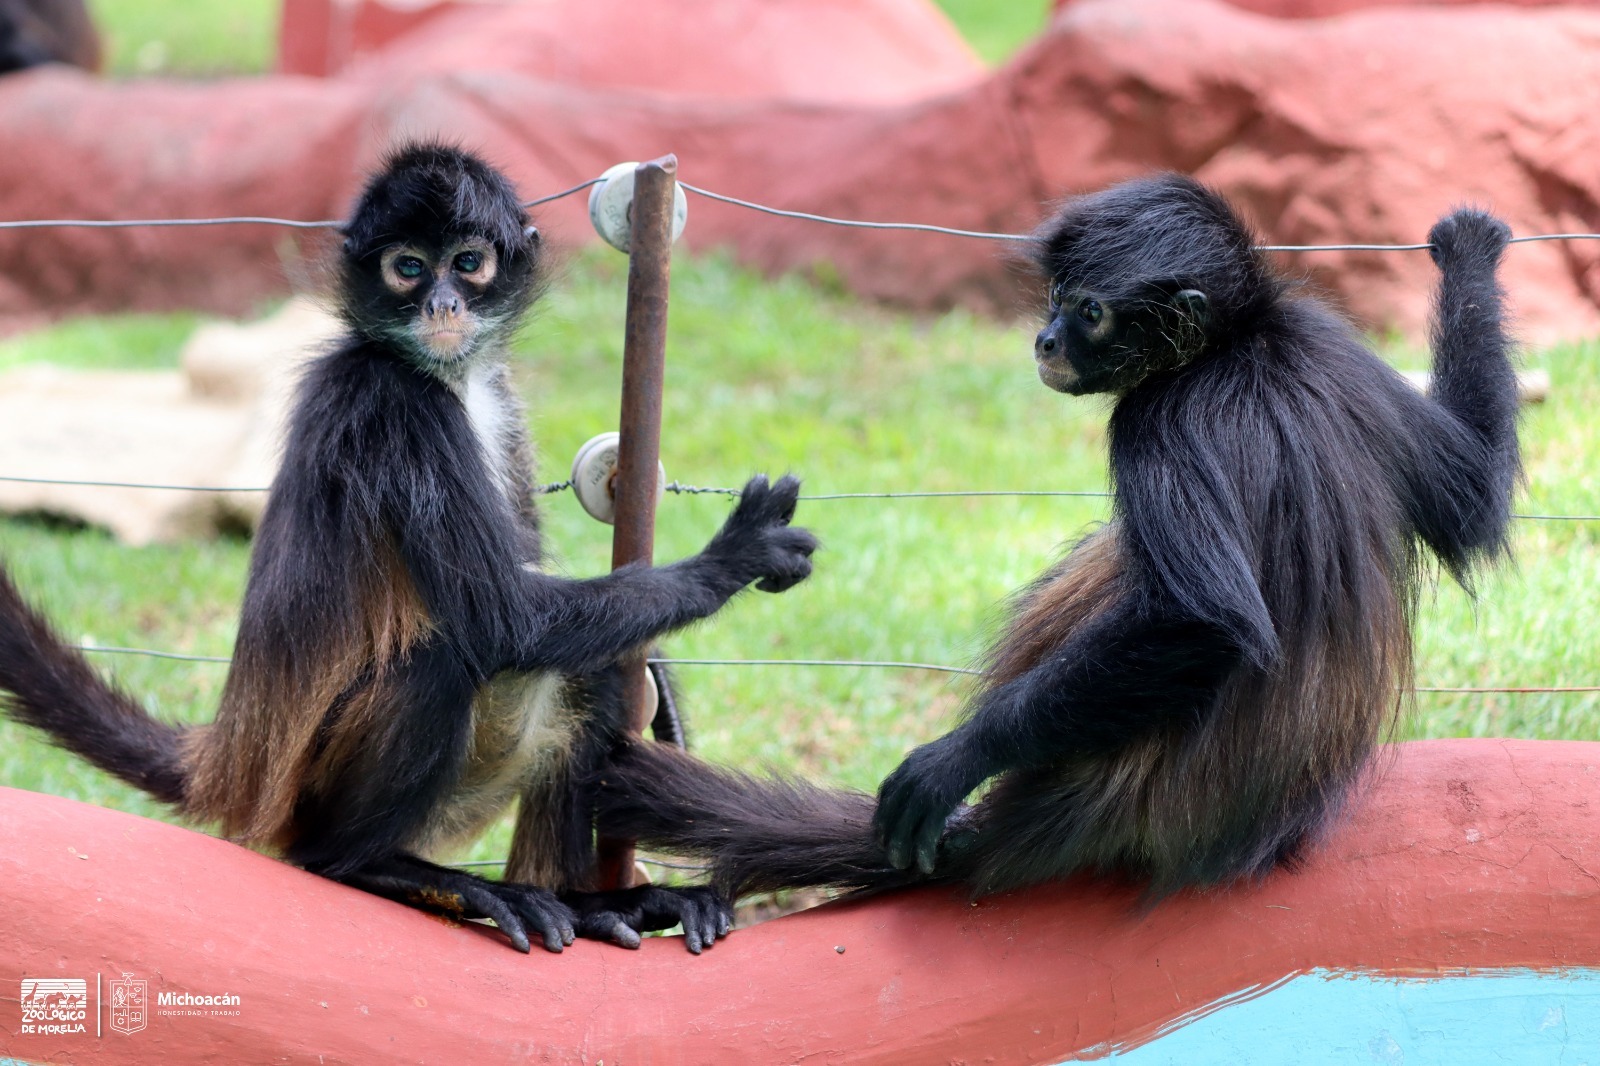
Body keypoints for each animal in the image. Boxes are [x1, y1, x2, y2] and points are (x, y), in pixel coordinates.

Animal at [0, 145, 825, 947]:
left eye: (467, 262)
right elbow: (506, 619)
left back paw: (591, 906)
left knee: (590, 669)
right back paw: (369, 866)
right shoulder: (393, 403)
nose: (442, 304)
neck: (443, 378)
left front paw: (660, 678)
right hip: (316, 792)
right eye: (407, 267)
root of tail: (233, 762)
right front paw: (731, 560)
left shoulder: (498, 392)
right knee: (447, 658)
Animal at [595, 170, 1516, 902]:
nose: (1042, 338)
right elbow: (1473, 504)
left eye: (1089, 312)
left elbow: (1206, 624)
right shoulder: (1331, 341)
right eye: (1054, 300)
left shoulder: (1156, 417)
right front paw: (1470, 254)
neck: (1236, 345)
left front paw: (952, 760)